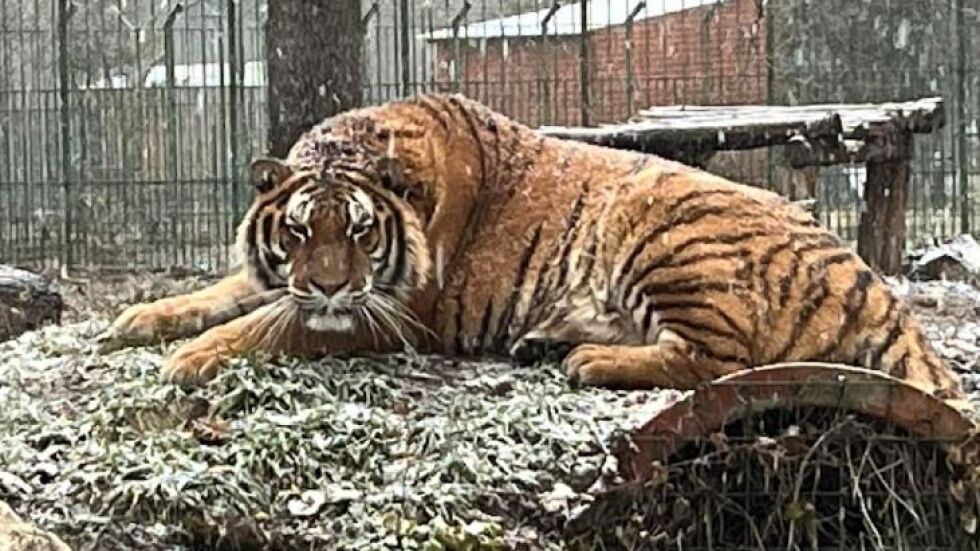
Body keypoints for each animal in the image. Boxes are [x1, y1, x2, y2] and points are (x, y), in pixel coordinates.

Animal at [101, 91, 964, 402]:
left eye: (362, 232)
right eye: (298, 230)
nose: (328, 285)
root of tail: (869, 278)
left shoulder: (393, 313)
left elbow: (266, 324)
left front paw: (191, 357)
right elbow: (224, 292)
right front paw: (140, 319)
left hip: (662, 227)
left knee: (723, 362)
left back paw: (587, 359)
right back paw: (547, 341)